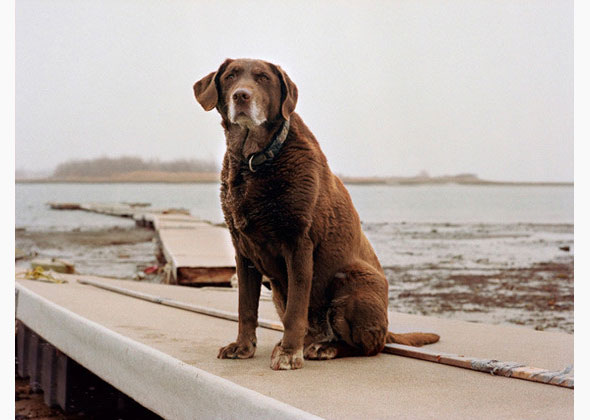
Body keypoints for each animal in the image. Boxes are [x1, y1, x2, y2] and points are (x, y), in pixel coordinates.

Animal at [194, 59, 440, 370]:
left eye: (262, 78)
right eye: (230, 76)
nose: (241, 95)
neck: (253, 161)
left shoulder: (298, 243)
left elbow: (295, 312)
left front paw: (289, 353)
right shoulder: (243, 251)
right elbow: (245, 308)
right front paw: (243, 347)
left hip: (351, 282)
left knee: (368, 346)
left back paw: (324, 348)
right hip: (278, 291)